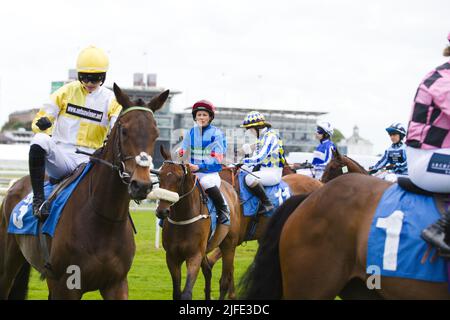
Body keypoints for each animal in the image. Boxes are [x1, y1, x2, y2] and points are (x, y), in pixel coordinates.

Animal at [0, 84, 169, 298]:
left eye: (156, 133)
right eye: (124, 130)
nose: (141, 185)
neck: (105, 220)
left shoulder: (116, 283)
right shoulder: (65, 285)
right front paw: (44, 121)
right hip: (8, 265)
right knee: (40, 141)